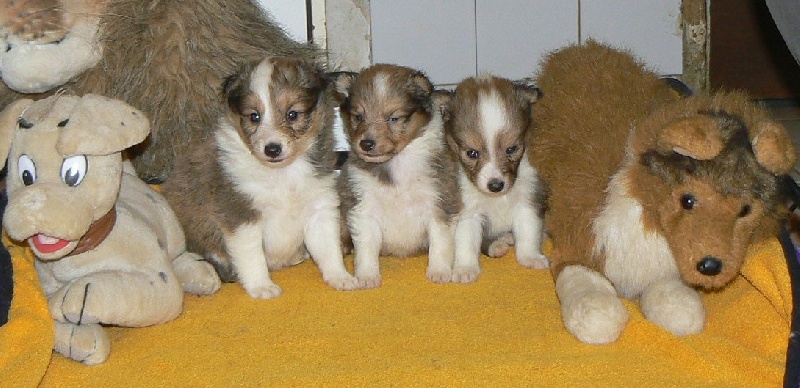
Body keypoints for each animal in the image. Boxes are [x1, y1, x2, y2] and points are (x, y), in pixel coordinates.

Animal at [164, 56, 358, 300]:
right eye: (254, 116)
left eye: (292, 114)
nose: (272, 149)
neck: (283, 173)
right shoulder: (241, 214)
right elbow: (252, 256)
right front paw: (261, 287)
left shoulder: (319, 207)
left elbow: (329, 249)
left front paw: (341, 278)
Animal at [332, 64, 460, 288]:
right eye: (358, 116)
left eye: (394, 118)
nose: (366, 144)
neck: (395, 165)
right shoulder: (364, 208)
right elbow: (366, 248)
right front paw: (367, 277)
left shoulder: (438, 203)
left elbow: (440, 243)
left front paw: (439, 272)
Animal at [444, 75, 552, 282]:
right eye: (472, 153)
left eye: (511, 149)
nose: (496, 185)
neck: (497, 198)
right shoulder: (468, 212)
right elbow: (466, 243)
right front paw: (465, 269)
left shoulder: (527, 201)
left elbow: (528, 233)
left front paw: (530, 257)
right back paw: (497, 244)